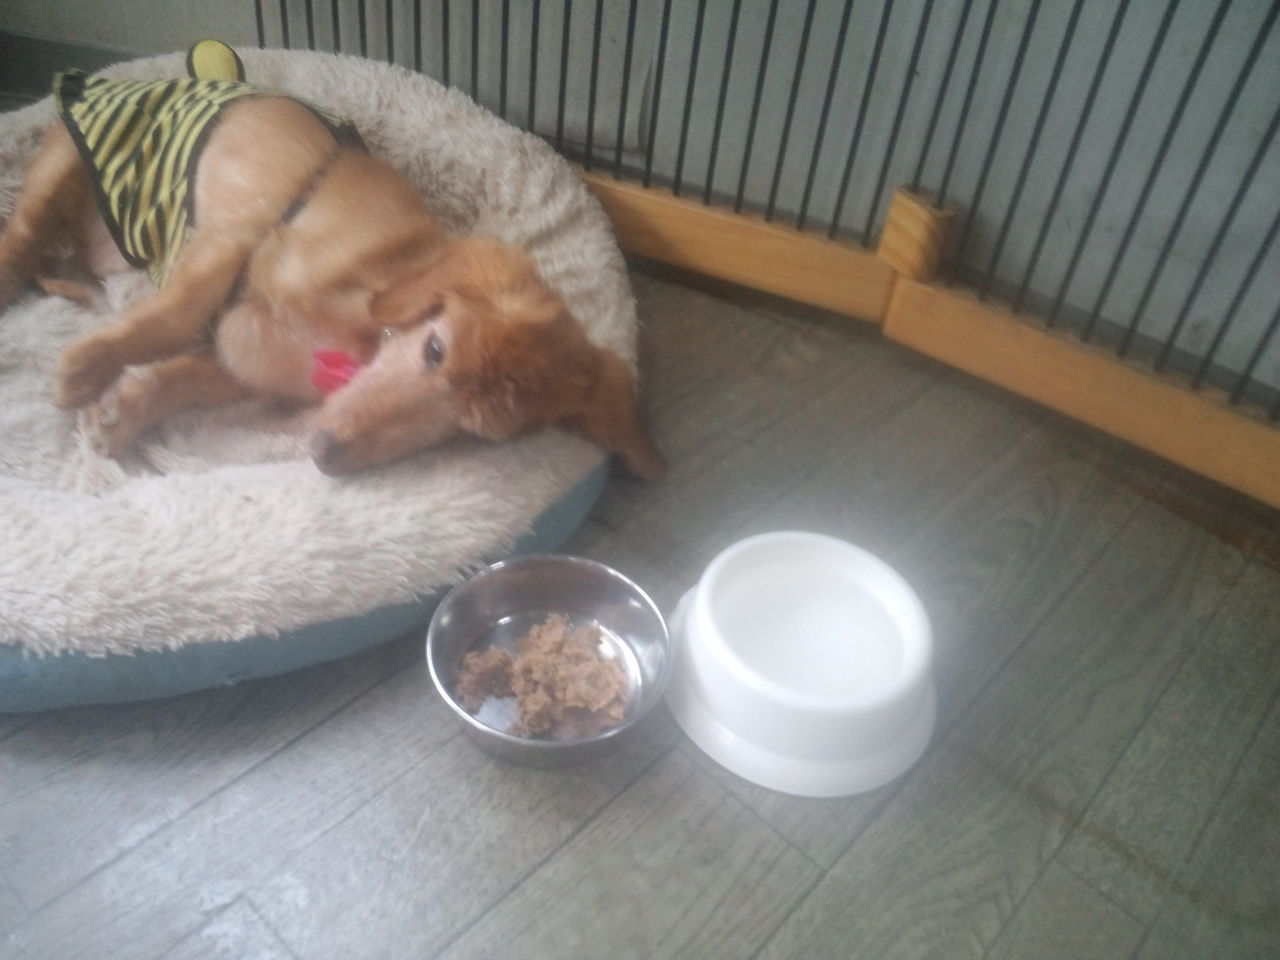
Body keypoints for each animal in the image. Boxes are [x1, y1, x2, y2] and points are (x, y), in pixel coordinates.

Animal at [0, 67, 665, 479]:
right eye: (434, 349)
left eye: (471, 434)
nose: (324, 453)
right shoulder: (238, 232)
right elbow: (175, 316)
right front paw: (87, 369)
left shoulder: (246, 360)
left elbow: (186, 374)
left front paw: (122, 412)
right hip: (65, 160)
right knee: (21, 235)